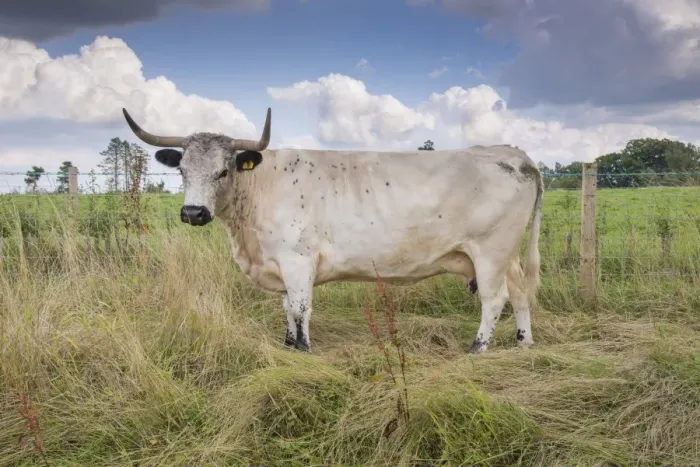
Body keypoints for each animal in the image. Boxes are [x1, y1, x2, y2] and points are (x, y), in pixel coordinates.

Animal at [121, 107, 543, 354]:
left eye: (223, 171)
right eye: (181, 169)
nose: (193, 212)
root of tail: (510, 153)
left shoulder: (297, 261)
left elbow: (300, 307)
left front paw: (304, 348)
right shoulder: (280, 264)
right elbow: (287, 308)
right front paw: (289, 343)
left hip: (489, 252)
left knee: (495, 299)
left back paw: (478, 347)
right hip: (506, 255)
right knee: (520, 292)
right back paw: (524, 342)